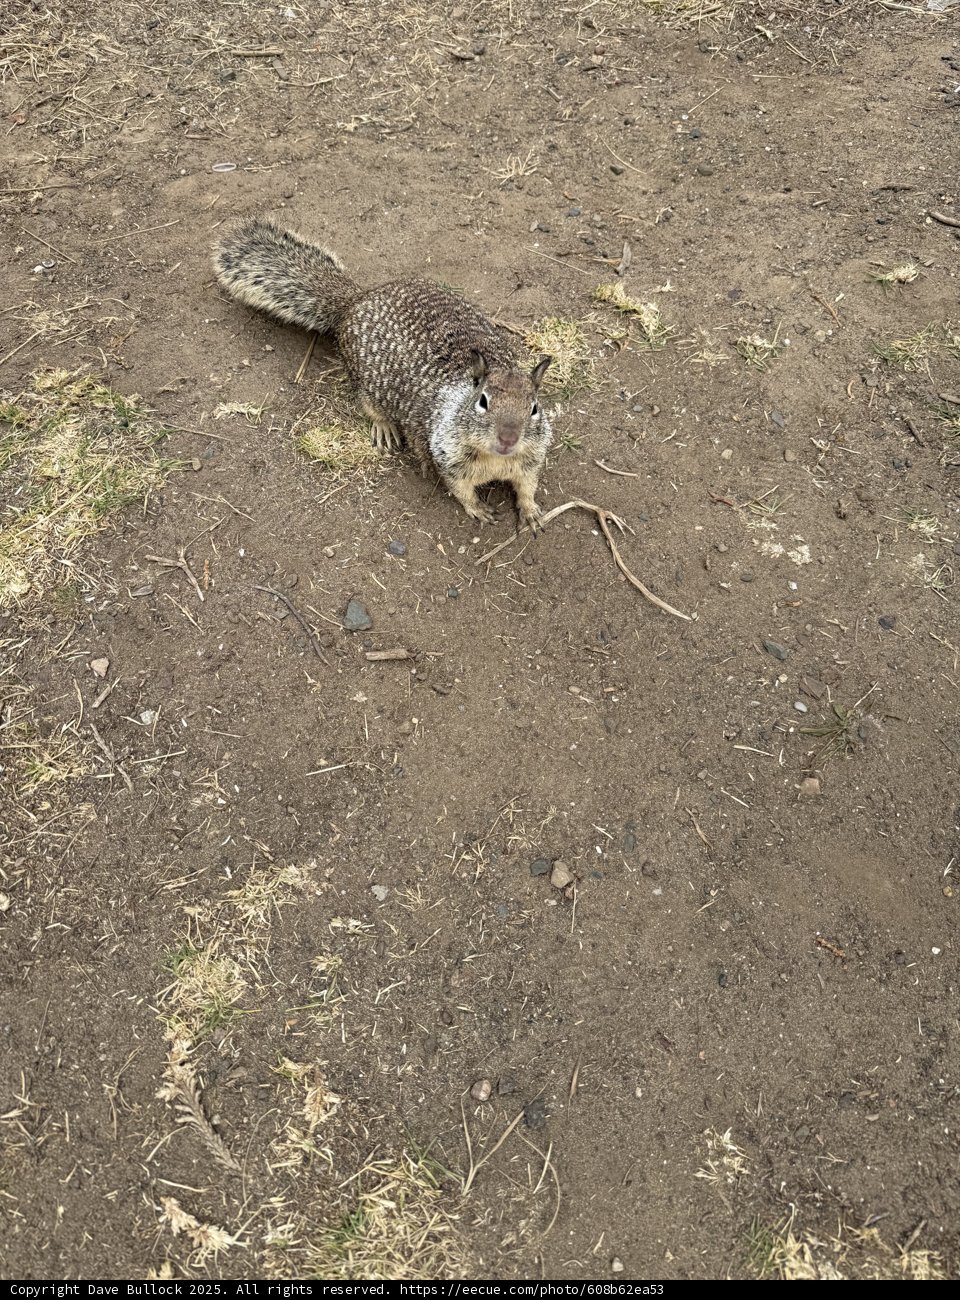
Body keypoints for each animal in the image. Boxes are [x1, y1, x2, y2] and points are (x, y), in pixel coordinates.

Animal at [213, 218, 554, 530]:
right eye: (482, 402)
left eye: (534, 408)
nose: (508, 438)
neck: (498, 460)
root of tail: (357, 299)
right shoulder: (447, 457)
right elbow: (460, 490)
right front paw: (478, 508)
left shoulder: (531, 460)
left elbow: (528, 486)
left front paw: (531, 511)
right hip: (364, 384)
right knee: (367, 405)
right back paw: (384, 427)